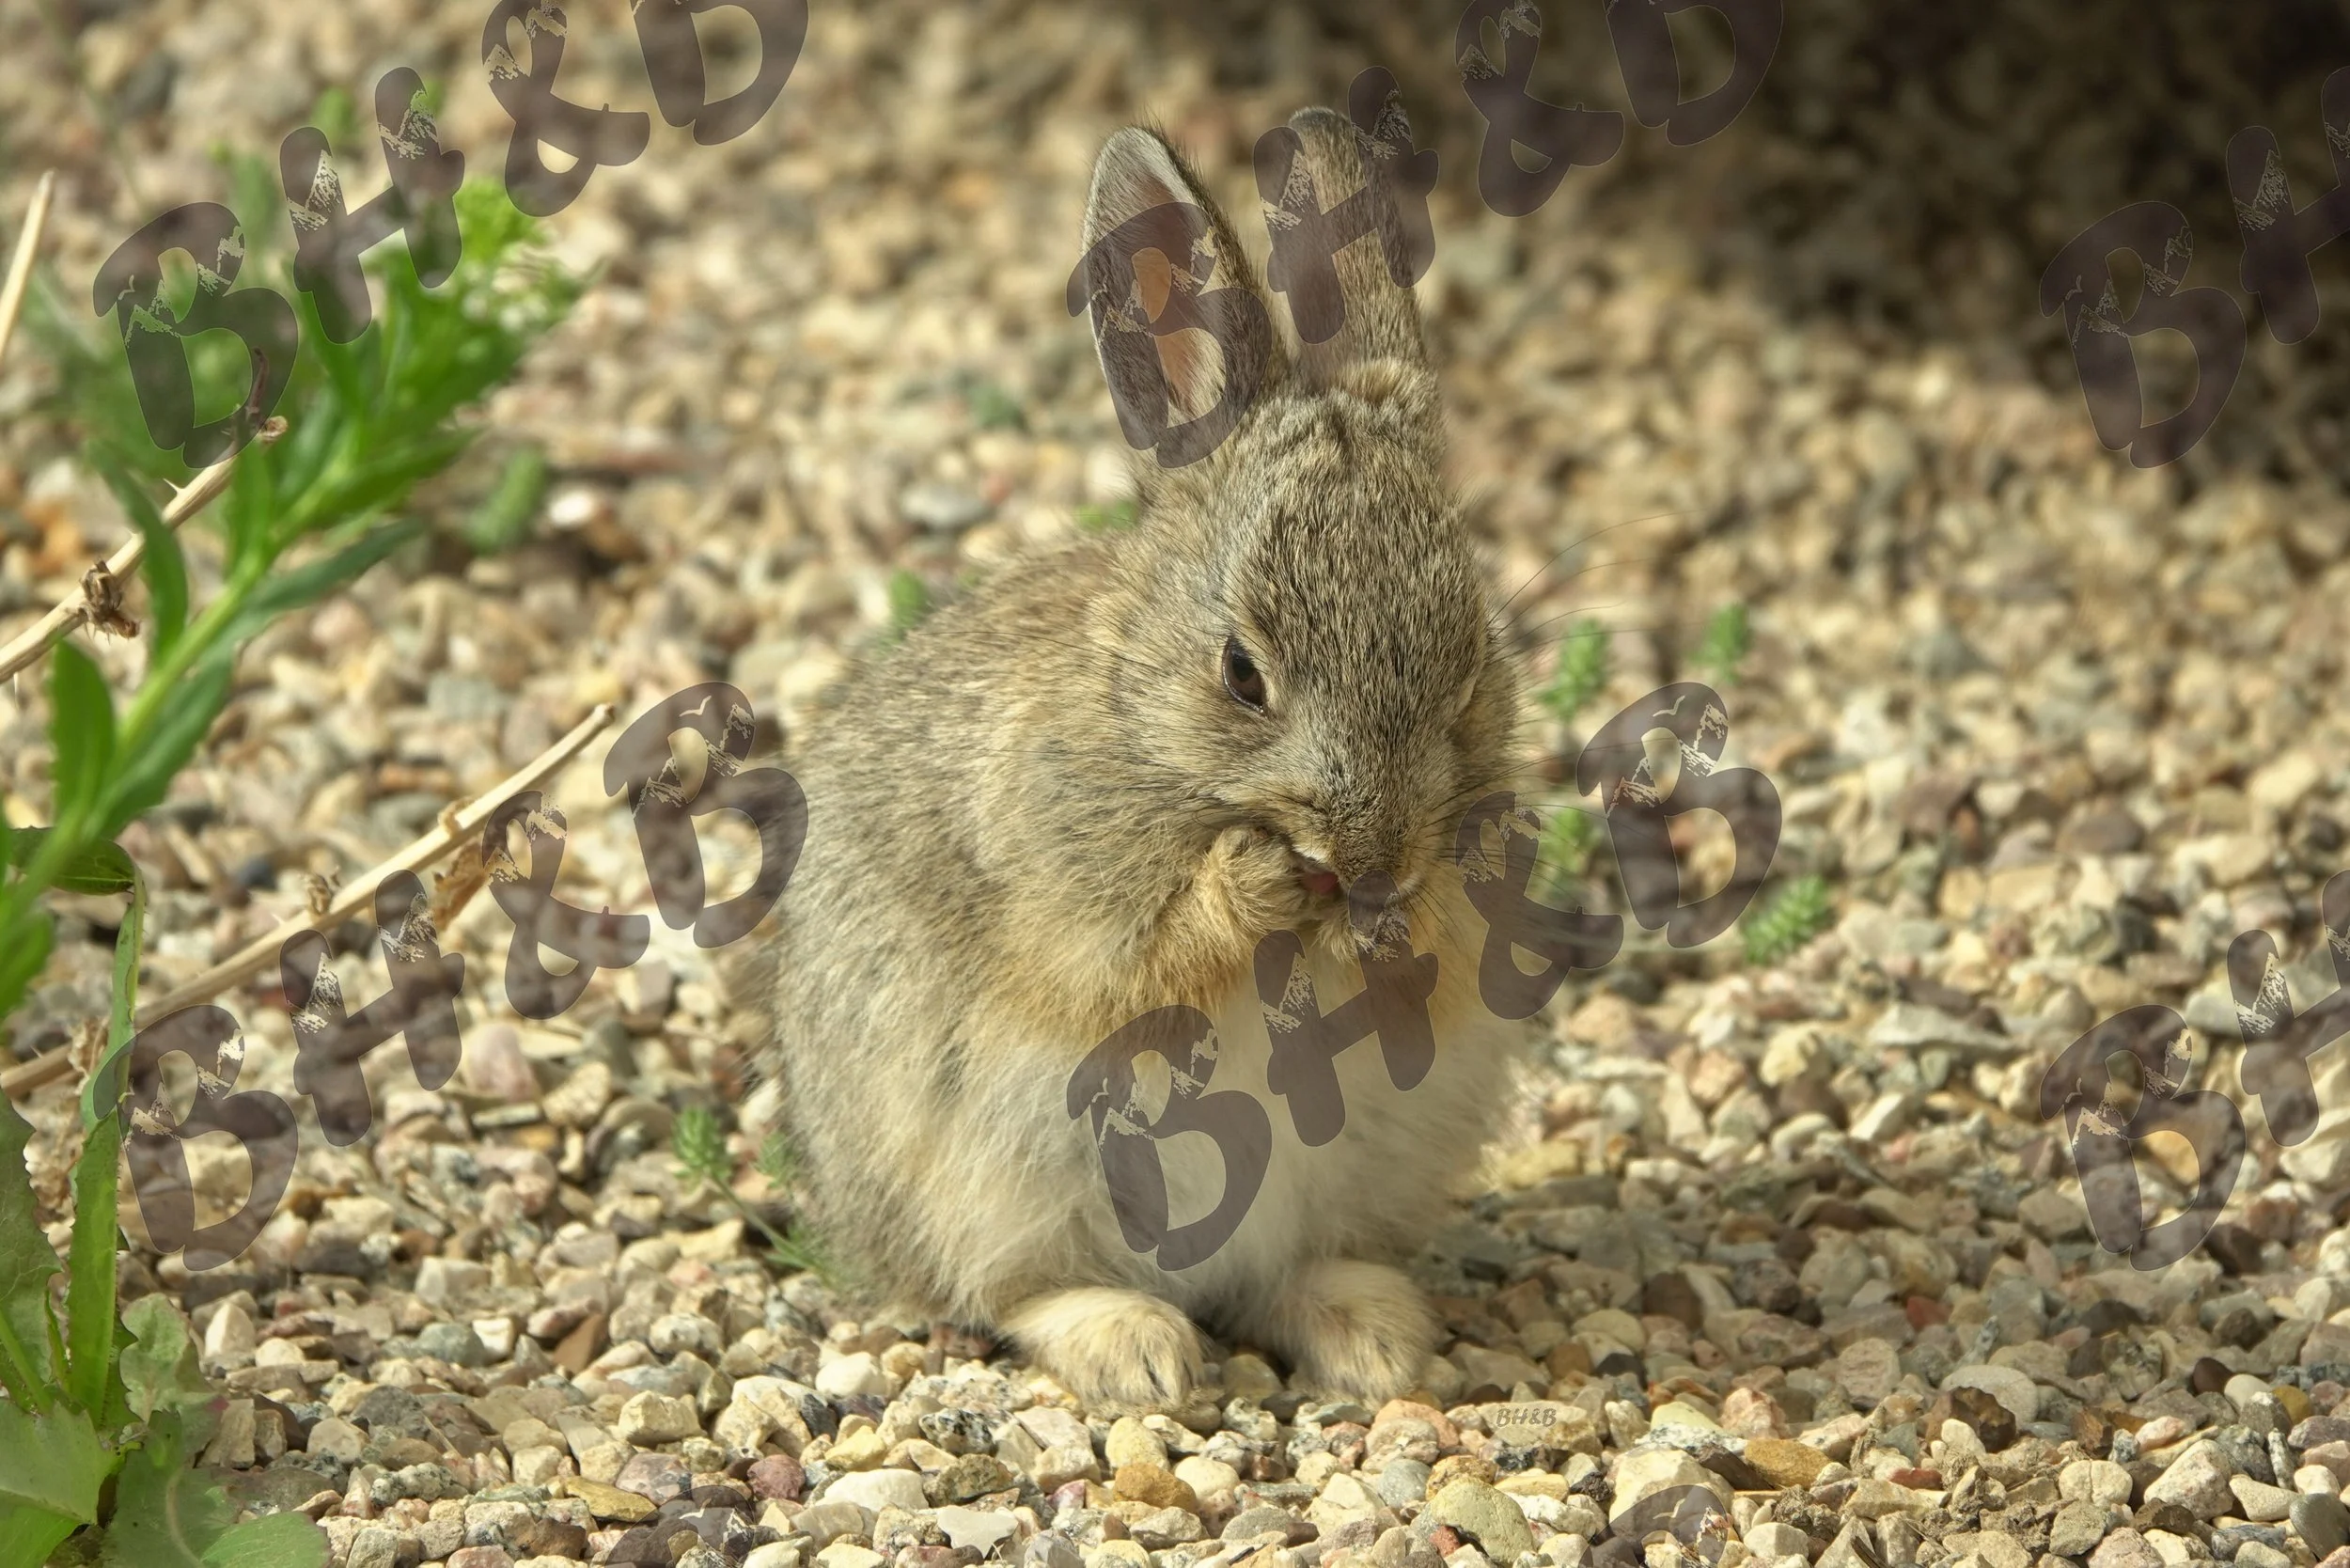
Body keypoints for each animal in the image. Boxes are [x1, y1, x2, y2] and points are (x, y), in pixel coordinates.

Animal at [740, 107, 1532, 1411]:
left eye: (1472, 657)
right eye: (1241, 673)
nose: (1370, 857)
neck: (1148, 724)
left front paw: (1394, 930)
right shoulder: (1068, 900)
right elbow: (1142, 957)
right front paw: (1257, 887)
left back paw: (1371, 1340)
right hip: (994, 1178)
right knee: (1012, 1294)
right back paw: (1138, 1350)